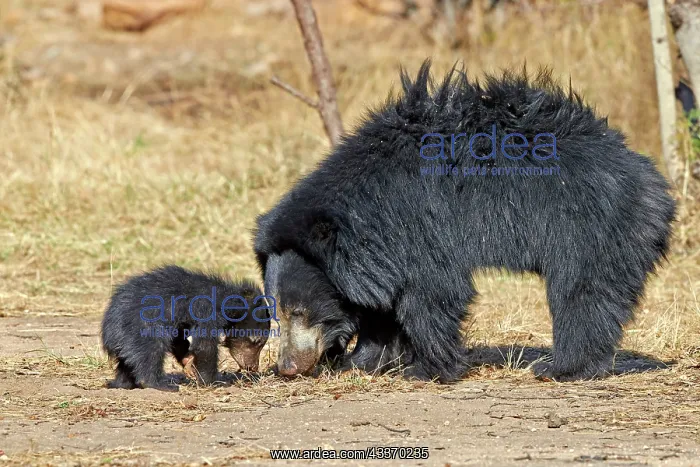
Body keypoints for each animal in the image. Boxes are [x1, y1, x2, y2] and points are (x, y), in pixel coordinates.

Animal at [101, 265, 272, 391]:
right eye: (257, 342)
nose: (252, 367)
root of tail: (108, 333)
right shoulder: (206, 309)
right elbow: (205, 344)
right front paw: (214, 381)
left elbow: (179, 338)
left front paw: (189, 363)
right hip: (140, 330)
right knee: (151, 352)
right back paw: (160, 385)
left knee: (127, 362)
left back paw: (121, 384)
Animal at [254, 60, 676, 383]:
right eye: (277, 314)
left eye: (299, 312)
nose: (286, 367)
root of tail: (650, 178)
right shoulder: (378, 256)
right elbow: (381, 306)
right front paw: (362, 361)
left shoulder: (416, 221)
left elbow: (432, 293)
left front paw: (428, 369)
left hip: (590, 227)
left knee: (580, 293)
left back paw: (561, 367)